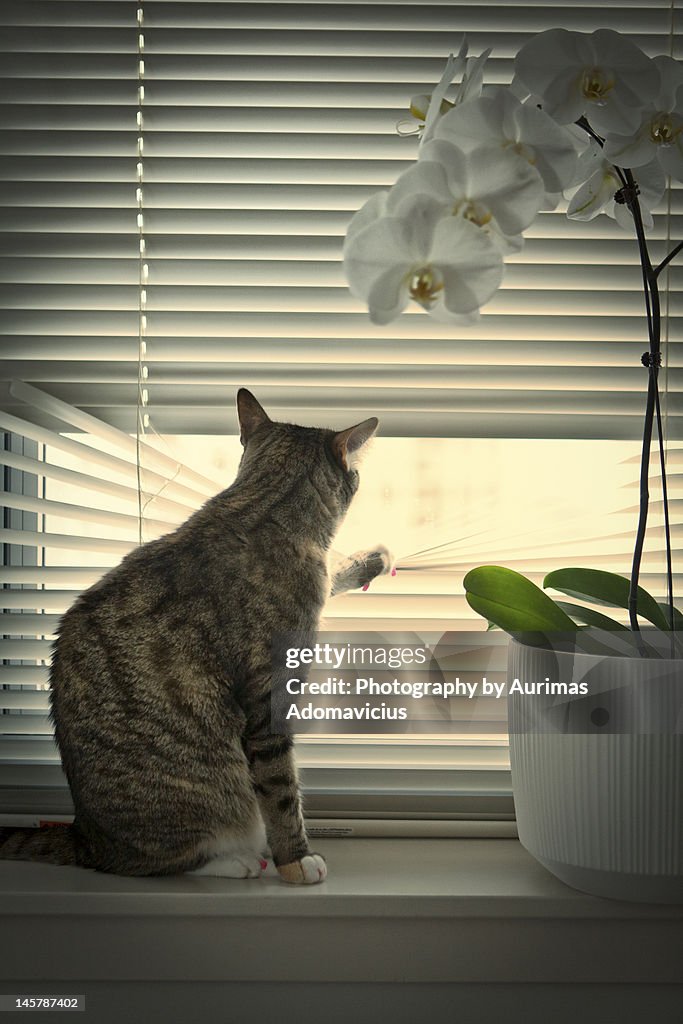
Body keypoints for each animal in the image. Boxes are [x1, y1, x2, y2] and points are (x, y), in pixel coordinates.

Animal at [0, 387, 393, 884]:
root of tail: (85, 836)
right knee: (167, 859)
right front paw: (297, 859)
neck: (262, 507)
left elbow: (333, 575)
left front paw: (367, 561)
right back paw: (237, 860)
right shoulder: (268, 700)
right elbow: (282, 792)